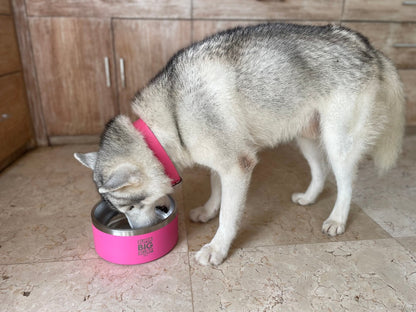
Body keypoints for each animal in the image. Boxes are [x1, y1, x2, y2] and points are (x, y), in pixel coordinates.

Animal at [73, 22, 404, 266]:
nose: (136, 232)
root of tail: (364, 44)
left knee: (346, 182)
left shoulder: (237, 166)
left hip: (338, 141)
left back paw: (337, 218)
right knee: (320, 170)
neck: (170, 115)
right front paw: (209, 210)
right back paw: (310, 197)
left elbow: (229, 216)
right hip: (305, 135)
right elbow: (215, 187)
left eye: (131, 206)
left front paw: (218, 247)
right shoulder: (220, 160)